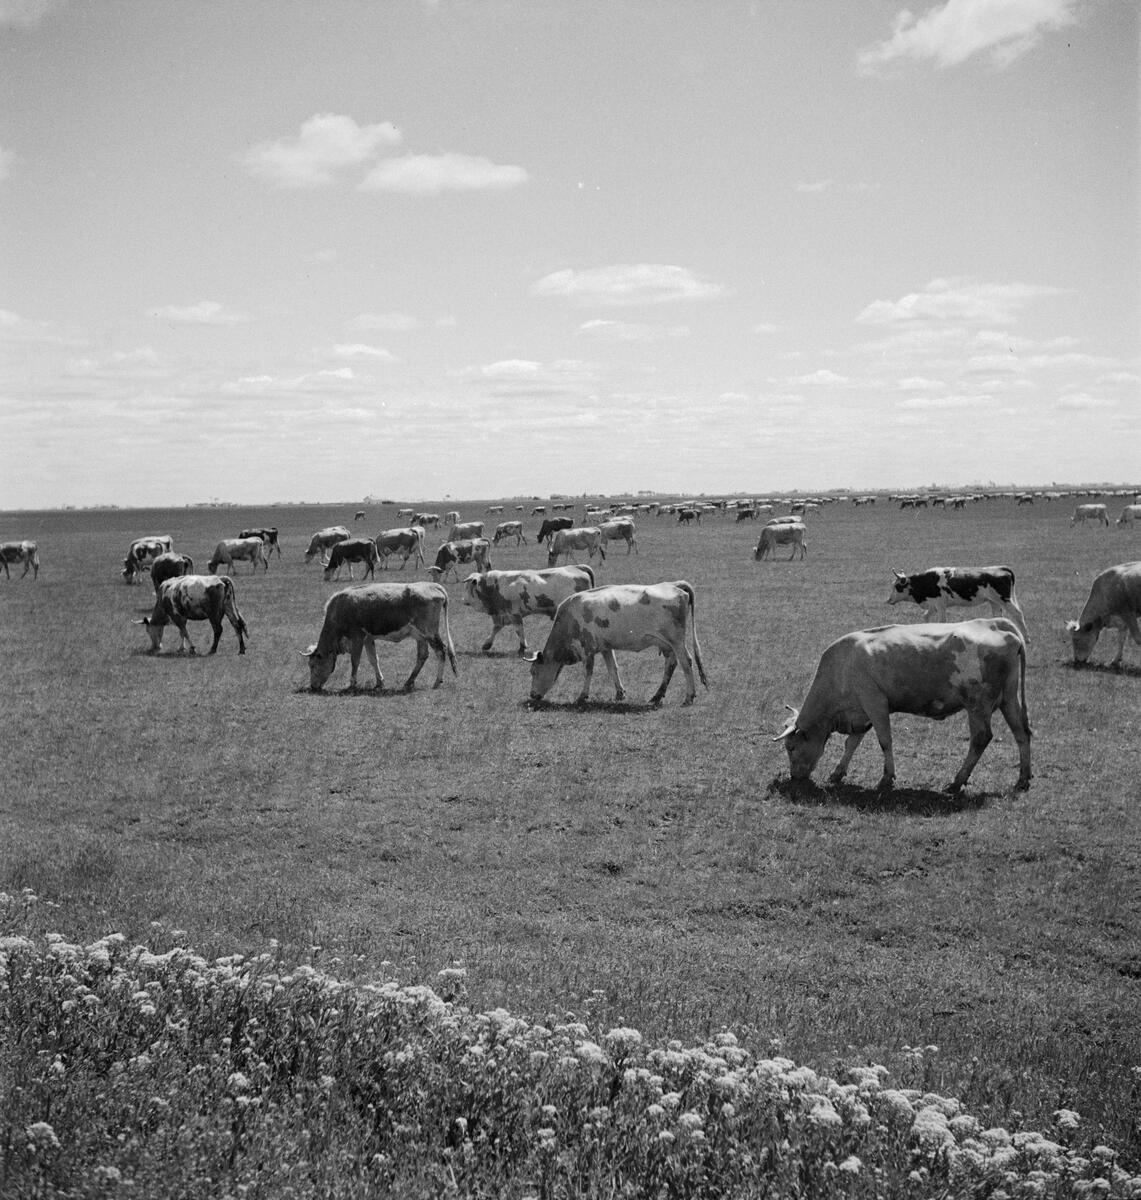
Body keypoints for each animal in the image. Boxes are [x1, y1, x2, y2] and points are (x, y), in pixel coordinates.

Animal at [301, 583, 458, 696]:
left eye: (313, 665)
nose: (313, 686)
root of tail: (433, 585)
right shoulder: (368, 638)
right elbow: (373, 659)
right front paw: (379, 683)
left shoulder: (357, 637)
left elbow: (355, 661)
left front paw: (352, 685)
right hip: (420, 637)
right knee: (422, 656)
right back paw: (408, 682)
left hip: (429, 633)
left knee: (441, 651)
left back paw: (437, 682)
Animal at [460, 564, 597, 652]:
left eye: (467, 587)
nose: (463, 600)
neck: (494, 585)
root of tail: (576, 567)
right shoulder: (502, 614)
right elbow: (496, 628)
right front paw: (487, 644)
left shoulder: (514, 613)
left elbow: (519, 630)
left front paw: (522, 647)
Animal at [777, 619, 1036, 796]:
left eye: (791, 747)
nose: (794, 776)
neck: (842, 666)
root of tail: (994, 624)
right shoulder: (860, 714)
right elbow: (852, 743)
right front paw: (838, 773)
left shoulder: (874, 702)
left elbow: (884, 741)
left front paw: (886, 778)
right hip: (1008, 699)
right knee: (1021, 733)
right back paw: (1022, 779)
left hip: (977, 705)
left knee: (981, 738)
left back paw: (956, 782)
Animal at [887, 564, 1031, 643]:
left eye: (897, 586)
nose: (888, 600)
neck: (928, 580)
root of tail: (1001, 568)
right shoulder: (933, 605)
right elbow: (926, 617)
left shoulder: (940, 604)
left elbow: (942, 621)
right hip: (994, 601)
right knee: (998, 616)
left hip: (1005, 599)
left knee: (1018, 614)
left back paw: (1026, 638)